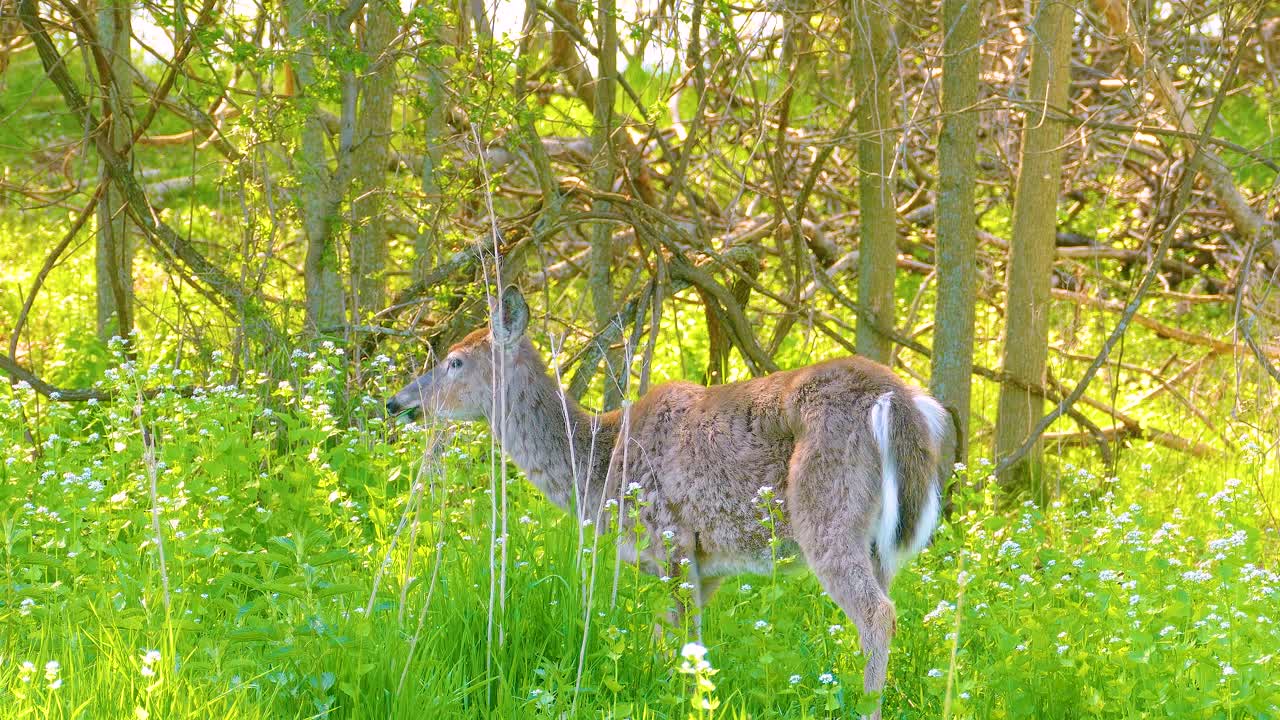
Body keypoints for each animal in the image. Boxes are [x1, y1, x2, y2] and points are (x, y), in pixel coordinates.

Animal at [386, 286, 950, 720]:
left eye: (455, 361)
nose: (397, 402)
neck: (600, 465)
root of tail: (897, 400)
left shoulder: (670, 539)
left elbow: (680, 646)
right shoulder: (708, 564)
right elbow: (681, 644)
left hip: (827, 512)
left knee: (877, 615)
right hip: (880, 544)